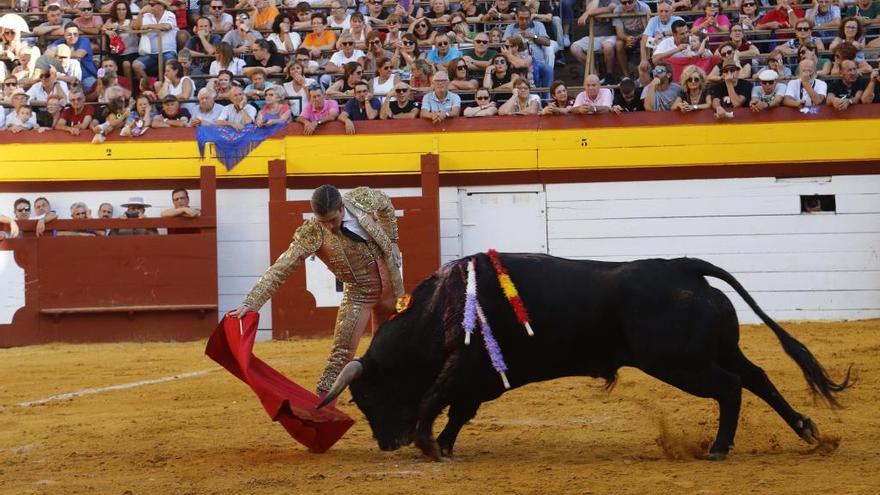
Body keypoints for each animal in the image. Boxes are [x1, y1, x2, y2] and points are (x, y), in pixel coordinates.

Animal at [320, 254, 848, 464]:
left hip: (680, 363)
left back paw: (719, 448)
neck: (442, 305)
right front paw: (445, 445)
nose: (387, 443)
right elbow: (460, 411)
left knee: (731, 387)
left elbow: (435, 399)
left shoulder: (464, 368)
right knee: (757, 378)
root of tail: (682, 266)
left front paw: (429, 445)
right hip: (715, 350)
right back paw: (808, 431)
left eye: (367, 396)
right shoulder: (481, 377)